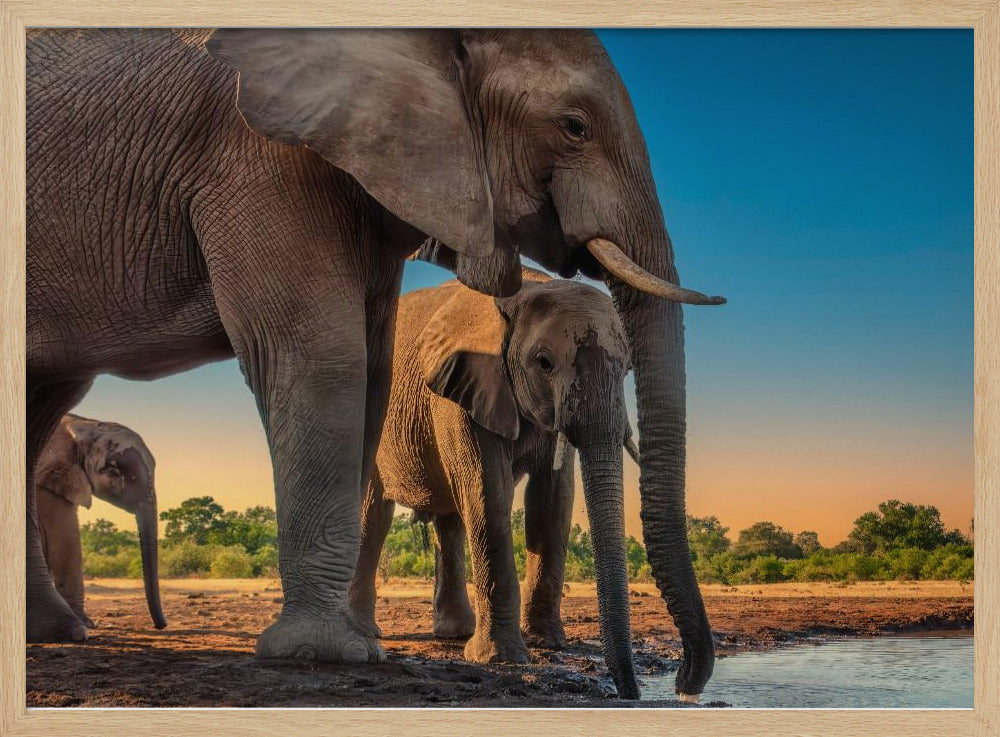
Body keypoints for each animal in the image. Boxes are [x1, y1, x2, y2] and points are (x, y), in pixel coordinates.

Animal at [348, 268, 643, 698]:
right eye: (544, 363)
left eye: (627, 369)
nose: (630, 693)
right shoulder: (462, 390)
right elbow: (489, 491)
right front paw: (502, 658)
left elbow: (552, 500)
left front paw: (546, 643)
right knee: (374, 514)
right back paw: (365, 631)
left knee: (450, 521)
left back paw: (455, 633)